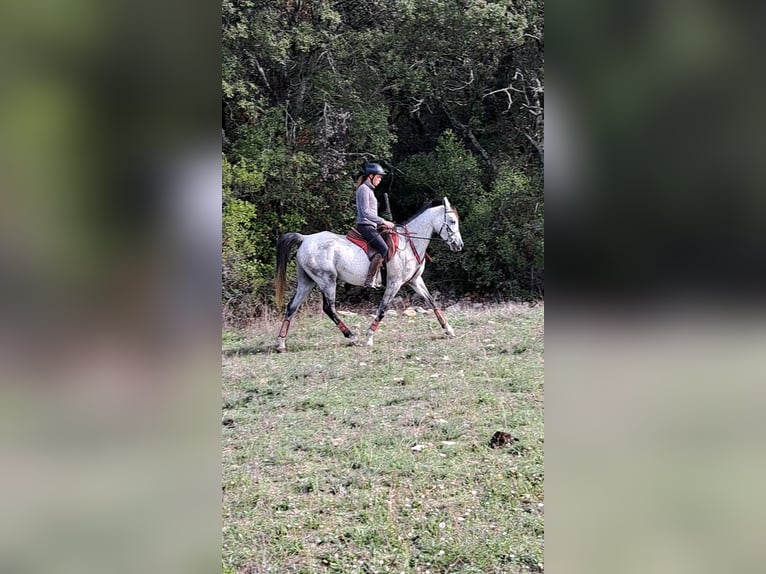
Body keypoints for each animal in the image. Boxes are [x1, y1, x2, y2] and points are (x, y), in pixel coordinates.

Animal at [278, 198, 468, 352]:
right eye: (452, 221)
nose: (459, 245)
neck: (409, 243)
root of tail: (305, 239)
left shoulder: (415, 281)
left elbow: (432, 302)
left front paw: (448, 329)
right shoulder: (395, 283)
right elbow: (383, 309)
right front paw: (369, 337)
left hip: (307, 281)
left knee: (292, 307)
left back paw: (281, 344)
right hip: (327, 281)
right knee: (328, 308)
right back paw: (352, 336)